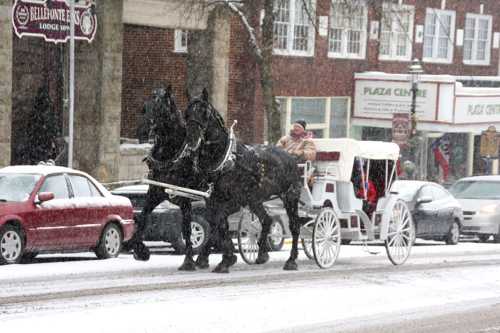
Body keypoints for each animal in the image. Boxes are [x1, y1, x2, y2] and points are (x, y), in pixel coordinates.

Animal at [131, 85, 209, 270]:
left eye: (161, 108)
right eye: (144, 107)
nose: (142, 131)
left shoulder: (185, 198)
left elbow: (187, 229)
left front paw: (188, 260)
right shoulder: (155, 192)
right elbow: (143, 218)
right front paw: (140, 250)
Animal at [174, 89, 302, 272]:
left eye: (204, 113)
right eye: (187, 113)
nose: (191, 138)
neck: (226, 160)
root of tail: (290, 157)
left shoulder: (235, 201)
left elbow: (220, 223)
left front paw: (225, 259)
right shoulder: (212, 200)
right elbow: (217, 223)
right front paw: (217, 257)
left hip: (289, 196)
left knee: (295, 226)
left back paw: (291, 260)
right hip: (255, 199)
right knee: (267, 220)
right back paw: (262, 253)